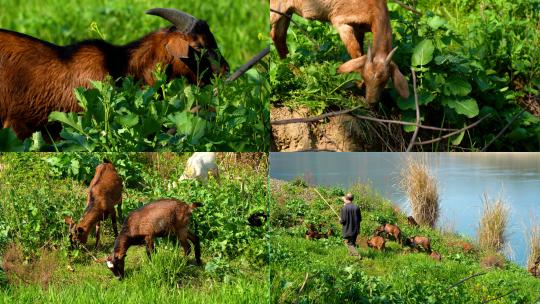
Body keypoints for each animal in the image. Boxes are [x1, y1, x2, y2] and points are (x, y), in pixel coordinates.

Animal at [270, 0, 410, 103]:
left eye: (385, 81)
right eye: (365, 76)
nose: (371, 102)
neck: (372, 7)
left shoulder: (360, 29)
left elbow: (360, 51)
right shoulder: (341, 22)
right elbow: (356, 53)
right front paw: (358, 84)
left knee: (278, 36)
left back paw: (296, 74)